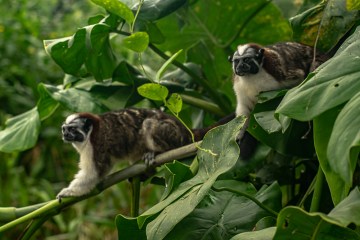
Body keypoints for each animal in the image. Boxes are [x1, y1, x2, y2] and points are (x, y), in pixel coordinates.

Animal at [56, 108, 231, 200]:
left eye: (72, 129)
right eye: (64, 129)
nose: (65, 134)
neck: (91, 132)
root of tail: (186, 130)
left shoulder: (97, 144)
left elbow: (93, 174)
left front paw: (67, 192)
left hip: (174, 136)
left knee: (148, 124)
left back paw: (158, 152)